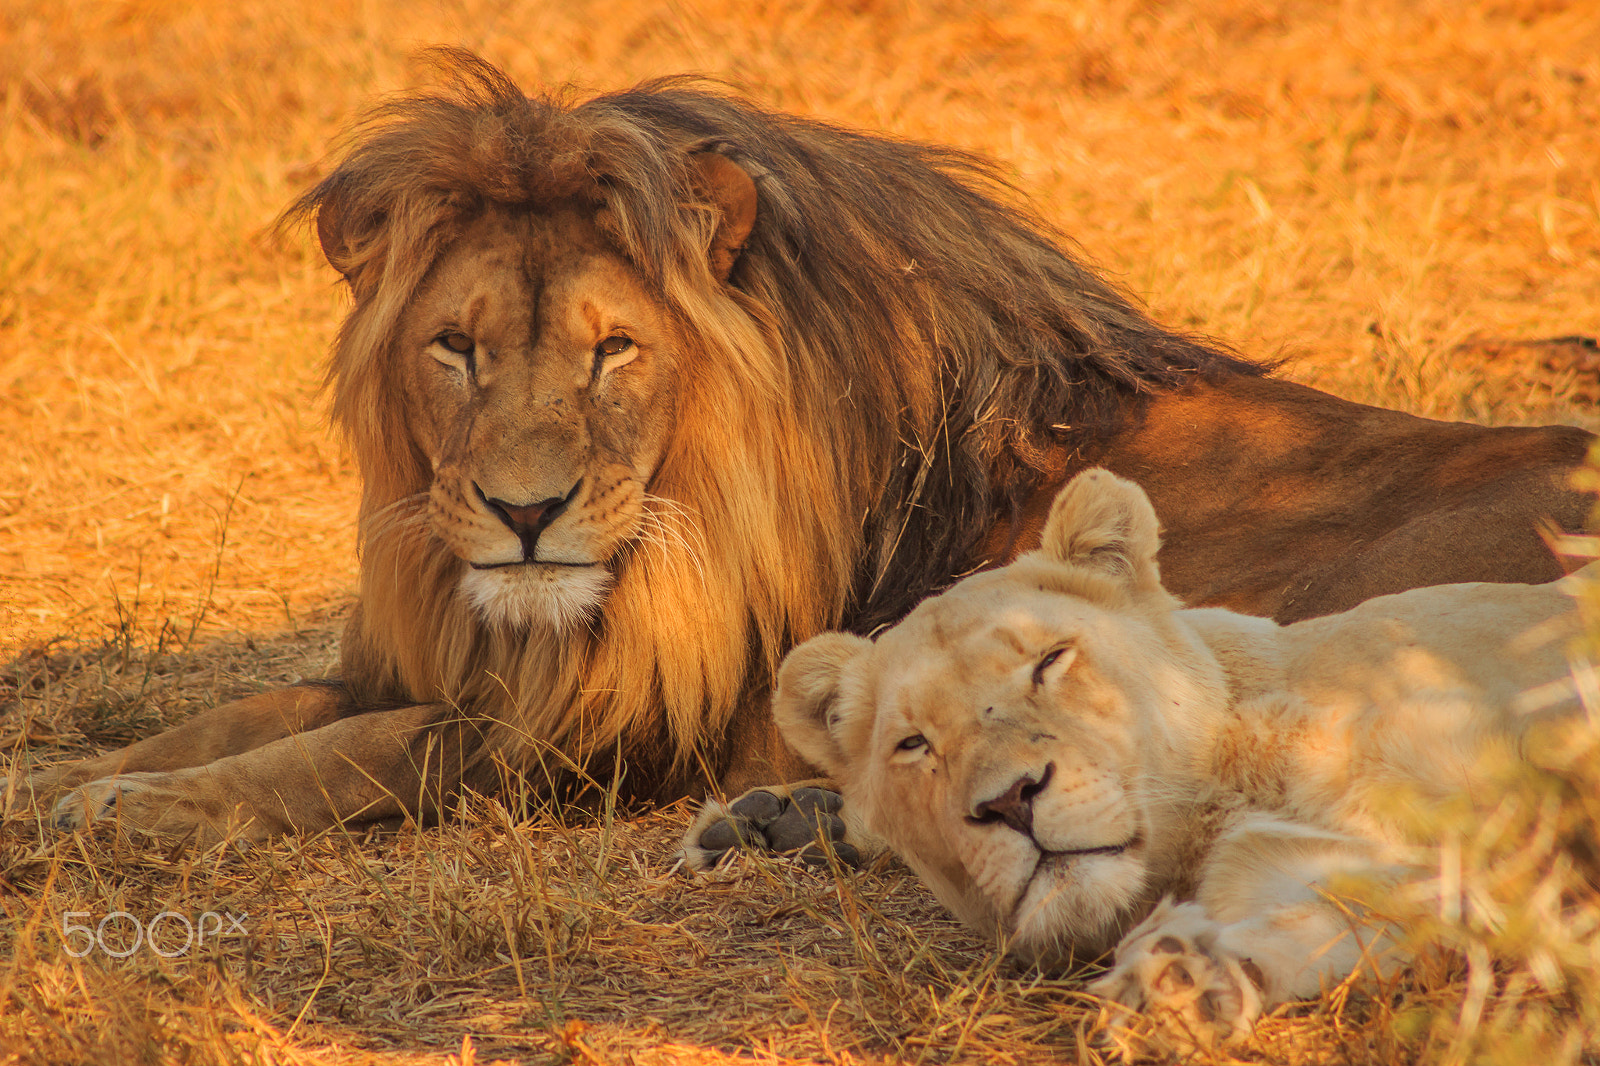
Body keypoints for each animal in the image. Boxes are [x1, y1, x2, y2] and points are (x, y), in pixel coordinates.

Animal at [7, 49, 1592, 847]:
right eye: (454, 347)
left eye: (614, 349)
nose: (523, 516)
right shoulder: (448, 661)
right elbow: (259, 708)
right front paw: (66, 779)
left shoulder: (603, 736)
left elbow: (352, 751)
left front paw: (131, 808)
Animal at [770, 467, 1585, 1048]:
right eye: (913, 744)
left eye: (1050, 661)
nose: (1009, 801)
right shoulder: (1320, 867)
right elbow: (1364, 910)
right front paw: (1181, 981)